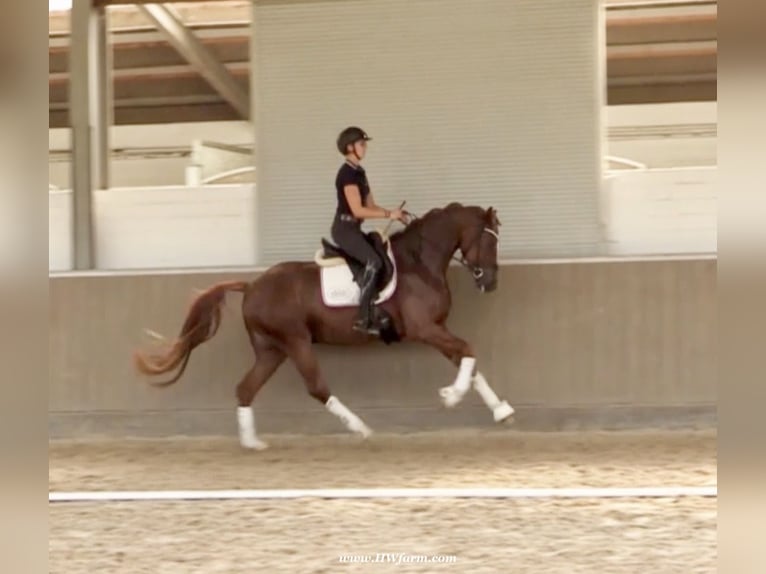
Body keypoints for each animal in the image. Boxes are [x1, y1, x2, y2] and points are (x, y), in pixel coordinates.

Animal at [134, 202, 516, 450]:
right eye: (490, 240)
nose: (491, 282)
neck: (419, 263)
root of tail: (252, 285)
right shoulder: (424, 329)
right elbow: (468, 351)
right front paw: (450, 396)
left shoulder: (436, 328)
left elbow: (470, 362)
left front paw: (501, 411)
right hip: (296, 341)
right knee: (316, 387)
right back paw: (362, 429)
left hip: (272, 349)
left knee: (245, 389)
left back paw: (253, 443)